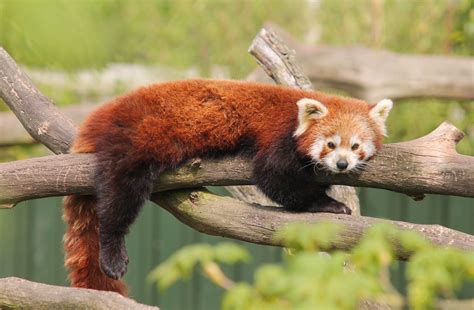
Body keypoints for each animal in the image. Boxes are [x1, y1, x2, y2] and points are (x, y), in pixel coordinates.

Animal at [63, 78, 392, 296]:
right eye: (330, 144)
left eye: (355, 146)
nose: (342, 164)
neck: (295, 116)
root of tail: (103, 113)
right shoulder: (277, 136)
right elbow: (273, 177)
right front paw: (330, 204)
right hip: (136, 138)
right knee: (120, 194)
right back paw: (112, 250)